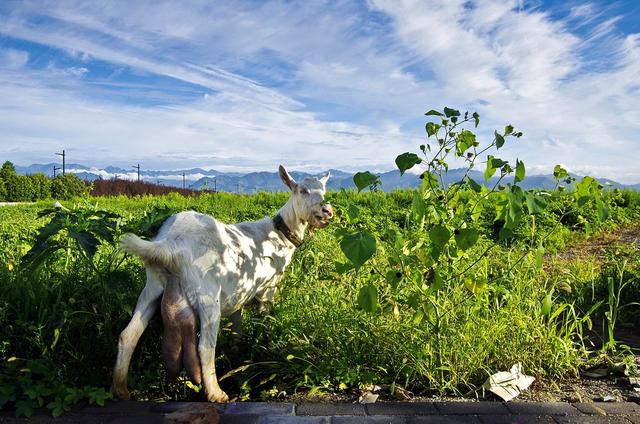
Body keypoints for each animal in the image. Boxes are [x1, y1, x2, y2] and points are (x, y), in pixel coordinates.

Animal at [110, 165, 332, 400]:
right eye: (303, 191)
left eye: (324, 191)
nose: (327, 210)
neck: (280, 234)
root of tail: (171, 245)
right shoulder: (268, 289)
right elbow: (264, 319)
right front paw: (262, 343)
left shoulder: (239, 292)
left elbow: (236, 324)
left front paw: (237, 351)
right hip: (207, 296)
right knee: (205, 347)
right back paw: (216, 393)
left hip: (153, 286)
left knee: (129, 334)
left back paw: (121, 389)